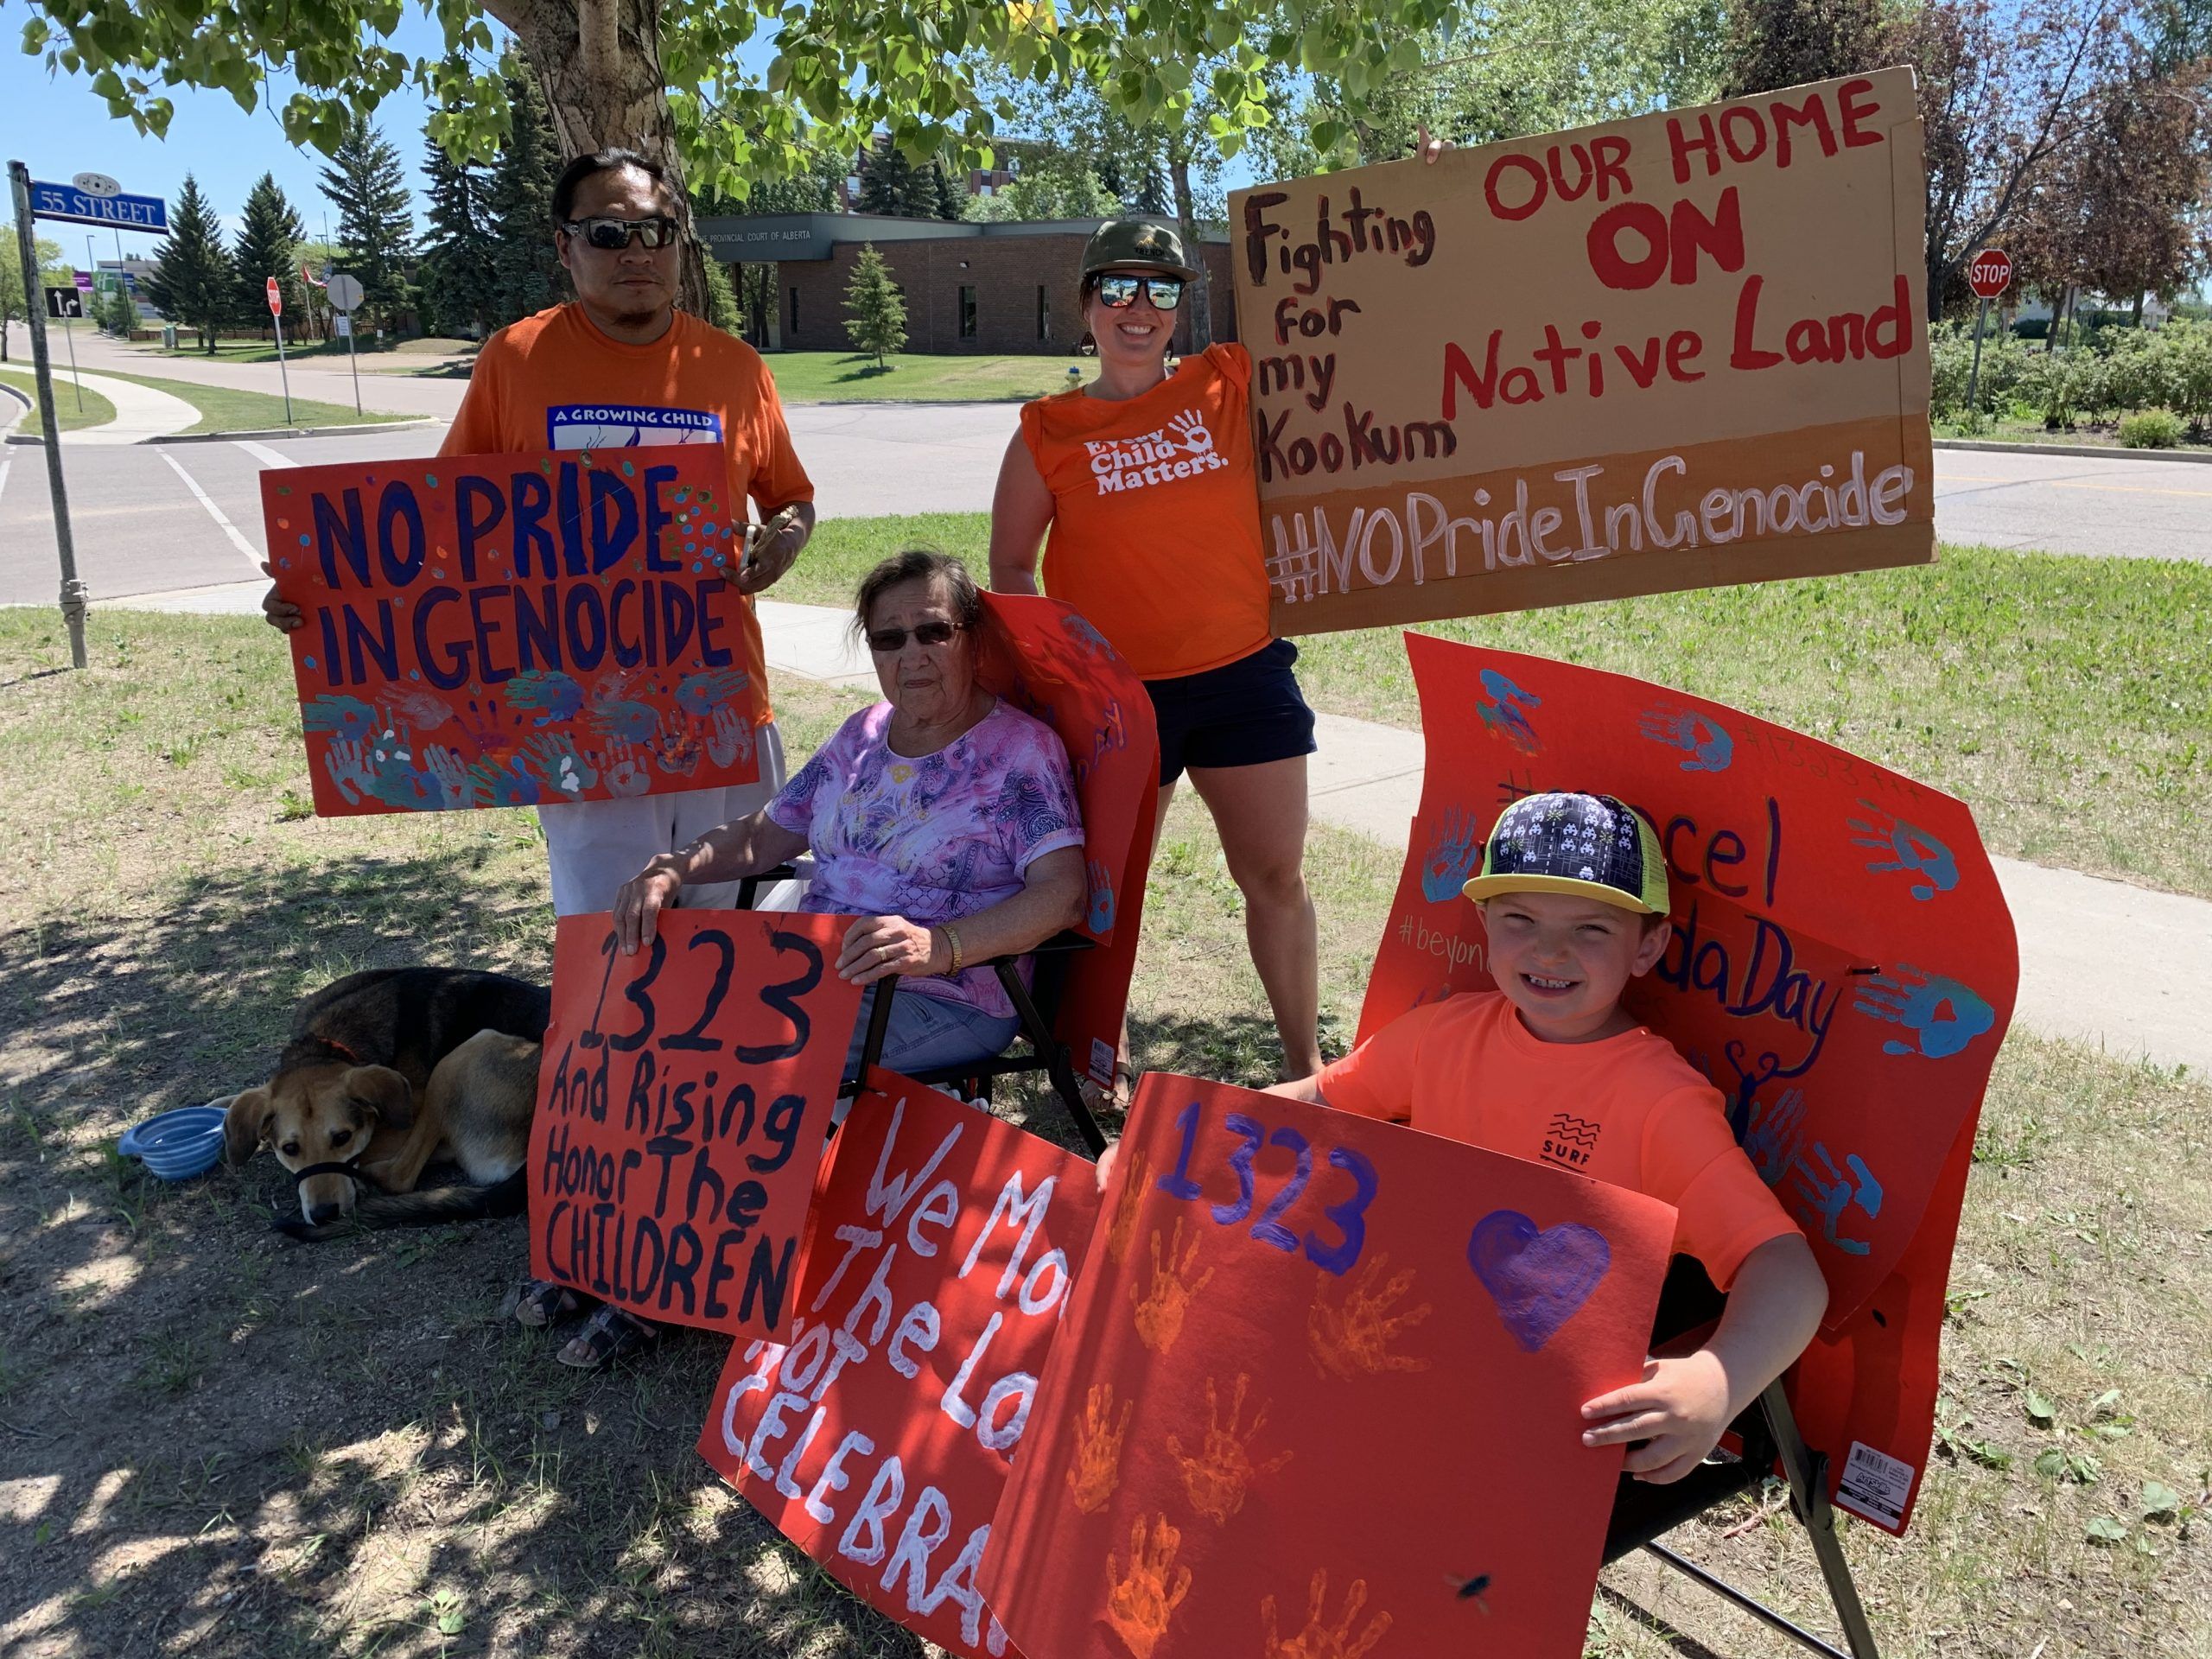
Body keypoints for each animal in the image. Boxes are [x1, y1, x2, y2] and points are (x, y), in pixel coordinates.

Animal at [223, 969, 548, 1238]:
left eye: (343, 1137)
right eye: (290, 1149)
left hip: (462, 1057)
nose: (324, 1215)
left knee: (399, 1176)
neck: (326, 1043)